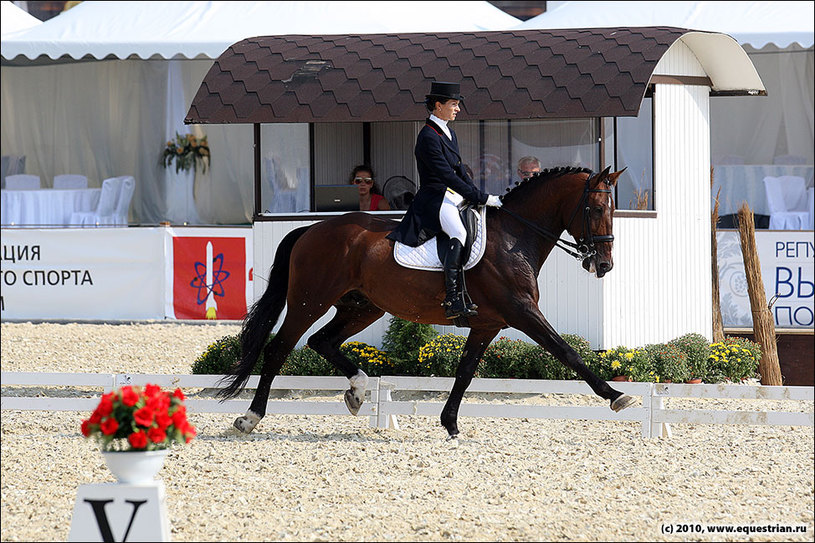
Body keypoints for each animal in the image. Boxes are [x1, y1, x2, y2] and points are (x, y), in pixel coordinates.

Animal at [218, 166, 636, 438]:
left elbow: (465, 373)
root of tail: (310, 228)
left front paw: (450, 425)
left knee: (322, 341)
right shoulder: (522, 312)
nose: (603, 265)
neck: (514, 237)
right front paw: (617, 396)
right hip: (310, 301)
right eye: (596, 209)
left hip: (362, 307)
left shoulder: (488, 324)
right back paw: (249, 418)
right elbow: (568, 352)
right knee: (279, 349)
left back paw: (357, 391)